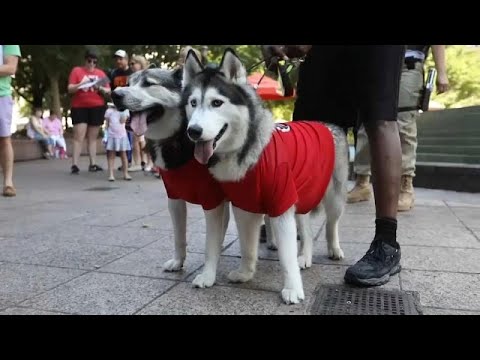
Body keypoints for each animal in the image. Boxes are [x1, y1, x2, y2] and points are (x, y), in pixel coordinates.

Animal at [112, 67, 231, 286]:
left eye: (149, 83)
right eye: (128, 83)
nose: (115, 94)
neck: (179, 135)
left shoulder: (211, 200)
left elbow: (210, 242)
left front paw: (208, 275)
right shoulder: (174, 198)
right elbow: (178, 236)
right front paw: (178, 262)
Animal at [182, 49, 346, 306]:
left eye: (217, 103)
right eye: (193, 103)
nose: (194, 131)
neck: (245, 150)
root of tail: (327, 125)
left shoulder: (281, 202)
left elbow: (287, 256)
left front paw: (293, 288)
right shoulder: (244, 205)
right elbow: (244, 246)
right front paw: (242, 273)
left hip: (332, 197)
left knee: (331, 223)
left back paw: (333, 249)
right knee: (307, 231)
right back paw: (305, 256)